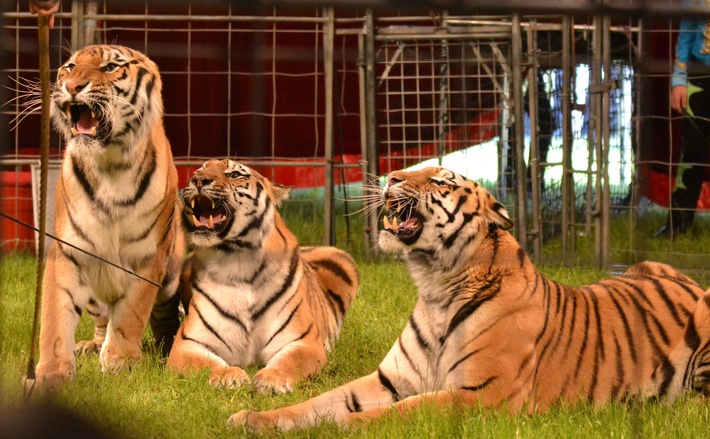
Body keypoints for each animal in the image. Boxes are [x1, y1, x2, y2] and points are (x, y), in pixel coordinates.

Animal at [34, 43, 185, 388]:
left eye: (111, 67)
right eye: (70, 67)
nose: (72, 86)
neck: (110, 165)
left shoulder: (150, 257)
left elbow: (131, 314)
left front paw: (120, 362)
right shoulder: (67, 251)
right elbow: (55, 315)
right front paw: (53, 373)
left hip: (171, 278)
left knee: (164, 321)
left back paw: (163, 350)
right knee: (101, 320)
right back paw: (91, 345)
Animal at [168, 160, 362, 394]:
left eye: (234, 174)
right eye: (199, 170)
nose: (198, 180)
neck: (237, 259)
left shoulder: (303, 341)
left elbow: (291, 361)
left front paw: (271, 379)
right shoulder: (187, 343)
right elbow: (205, 363)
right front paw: (228, 376)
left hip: (343, 258)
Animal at [231, 166, 708, 434]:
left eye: (440, 179)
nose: (392, 178)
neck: (436, 286)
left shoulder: (479, 395)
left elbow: (388, 415)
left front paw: (340, 427)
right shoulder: (389, 379)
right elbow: (319, 403)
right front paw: (253, 420)